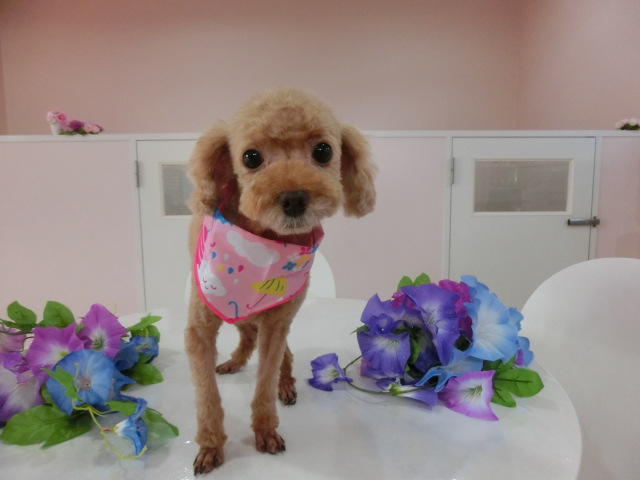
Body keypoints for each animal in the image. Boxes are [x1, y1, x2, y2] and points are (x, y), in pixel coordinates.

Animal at [185, 87, 376, 475]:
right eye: (251, 157)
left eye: (323, 151)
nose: (294, 198)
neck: (262, 246)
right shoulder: (199, 329)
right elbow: (207, 396)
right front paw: (211, 445)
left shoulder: (276, 324)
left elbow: (266, 378)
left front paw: (265, 430)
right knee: (246, 336)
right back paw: (234, 361)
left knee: (281, 354)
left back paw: (285, 383)